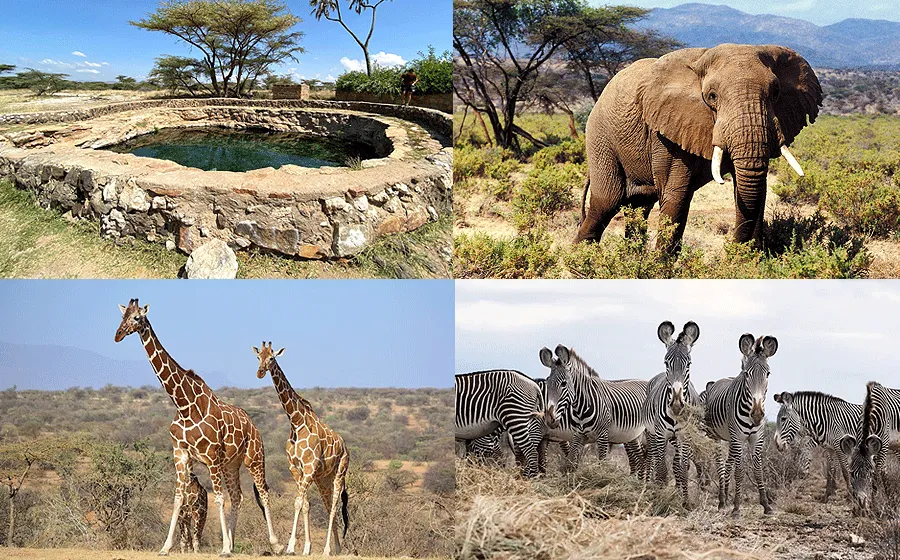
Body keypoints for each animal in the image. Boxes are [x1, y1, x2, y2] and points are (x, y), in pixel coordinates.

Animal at [576, 44, 824, 250]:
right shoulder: (666, 129)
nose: (731, 247)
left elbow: (755, 192)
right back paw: (581, 260)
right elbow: (677, 196)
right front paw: (660, 268)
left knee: (639, 207)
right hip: (600, 138)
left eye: (776, 92)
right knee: (606, 203)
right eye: (711, 96)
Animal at [648, 322, 704, 506]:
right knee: (654, 461)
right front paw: (659, 499)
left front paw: (685, 502)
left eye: (689, 364)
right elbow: (661, 469)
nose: (677, 404)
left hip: (677, 438)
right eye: (666, 363)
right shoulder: (660, 435)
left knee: (678, 465)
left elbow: (683, 468)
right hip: (652, 435)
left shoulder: (685, 436)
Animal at [708, 332, 776, 516]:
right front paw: (737, 508)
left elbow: (758, 471)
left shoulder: (757, 438)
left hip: (731, 438)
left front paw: (766, 505)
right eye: (746, 374)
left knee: (728, 464)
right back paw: (722, 501)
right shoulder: (738, 437)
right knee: (720, 464)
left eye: (768, 374)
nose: (757, 414)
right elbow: (739, 472)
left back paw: (726, 498)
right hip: (716, 436)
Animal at [844, 380, 900, 512]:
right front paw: (892, 503)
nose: (861, 504)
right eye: (851, 473)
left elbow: (877, 475)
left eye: (869, 473)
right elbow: (884, 475)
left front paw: (874, 507)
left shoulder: (883, 445)